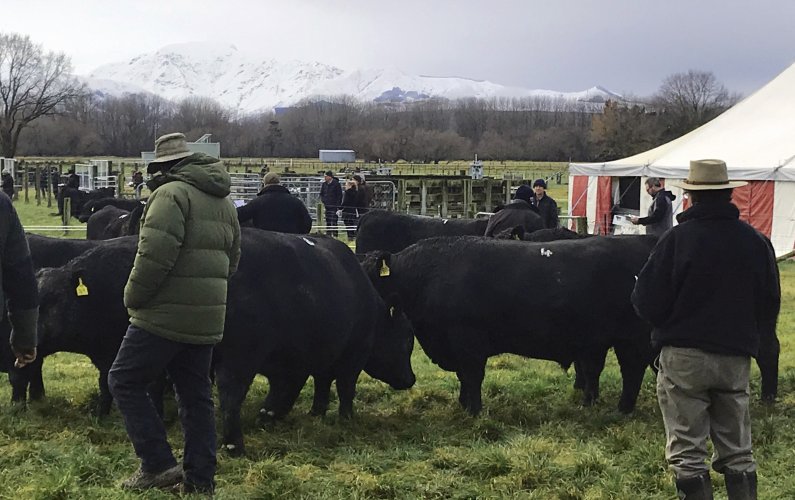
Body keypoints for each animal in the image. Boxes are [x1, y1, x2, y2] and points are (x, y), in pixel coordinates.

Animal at [364, 236, 780, 416]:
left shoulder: (468, 343)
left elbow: (472, 377)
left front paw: (472, 411)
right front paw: (465, 405)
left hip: (633, 338)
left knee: (632, 372)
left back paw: (622, 410)